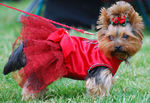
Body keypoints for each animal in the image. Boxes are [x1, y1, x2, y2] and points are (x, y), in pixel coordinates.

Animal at [3, 1, 144, 100]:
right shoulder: (99, 72)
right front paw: (100, 98)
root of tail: (28, 43)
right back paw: (31, 98)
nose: (118, 46)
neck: (110, 53)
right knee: (32, 84)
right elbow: (98, 86)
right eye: (110, 37)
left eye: (125, 36)